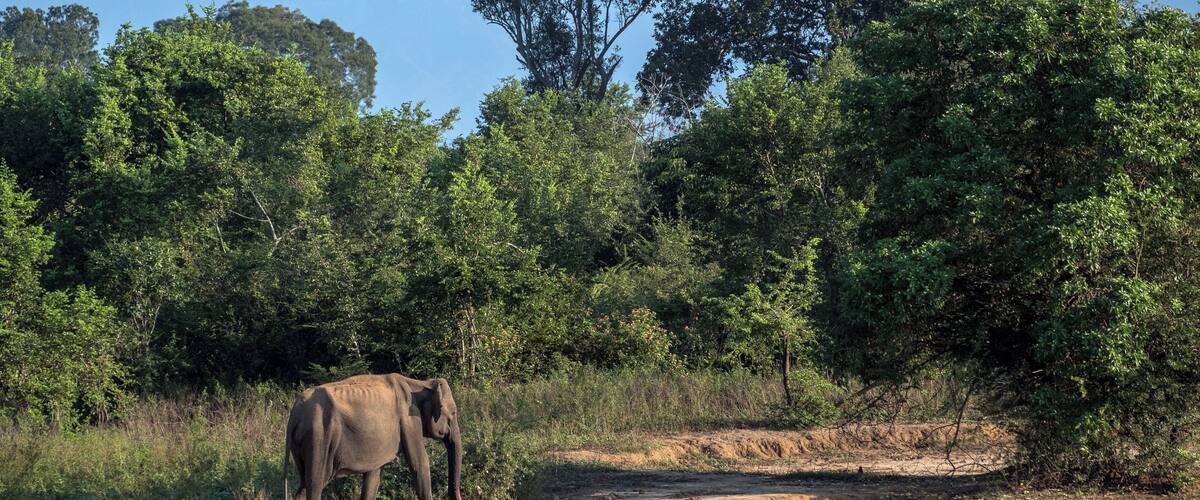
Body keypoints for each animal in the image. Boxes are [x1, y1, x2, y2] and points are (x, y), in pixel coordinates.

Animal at [283, 374, 463, 500]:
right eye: (454, 413)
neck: (418, 383)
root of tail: (295, 412)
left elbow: (373, 476)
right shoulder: (409, 419)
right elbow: (419, 463)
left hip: (301, 443)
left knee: (304, 485)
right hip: (318, 438)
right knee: (315, 484)